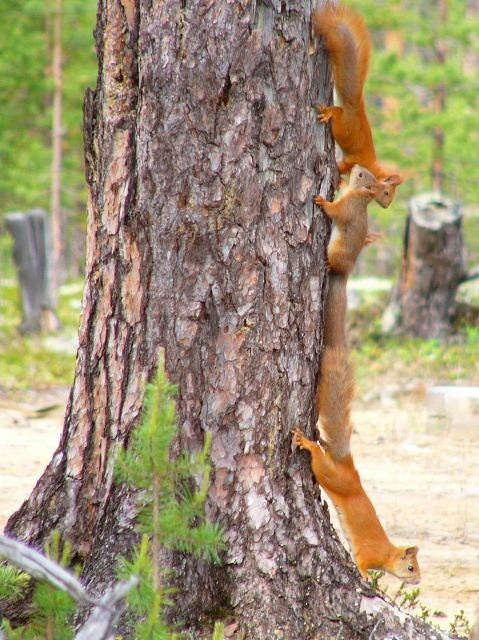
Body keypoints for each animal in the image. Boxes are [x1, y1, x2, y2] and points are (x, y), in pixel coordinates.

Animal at [313, 4, 403, 191]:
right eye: (387, 191)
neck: (372, 169)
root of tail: (355, 107)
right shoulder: (355, 162)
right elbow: (343, 167)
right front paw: (338, 176)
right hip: (342, 128)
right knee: (337, 112)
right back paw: (328, 113)